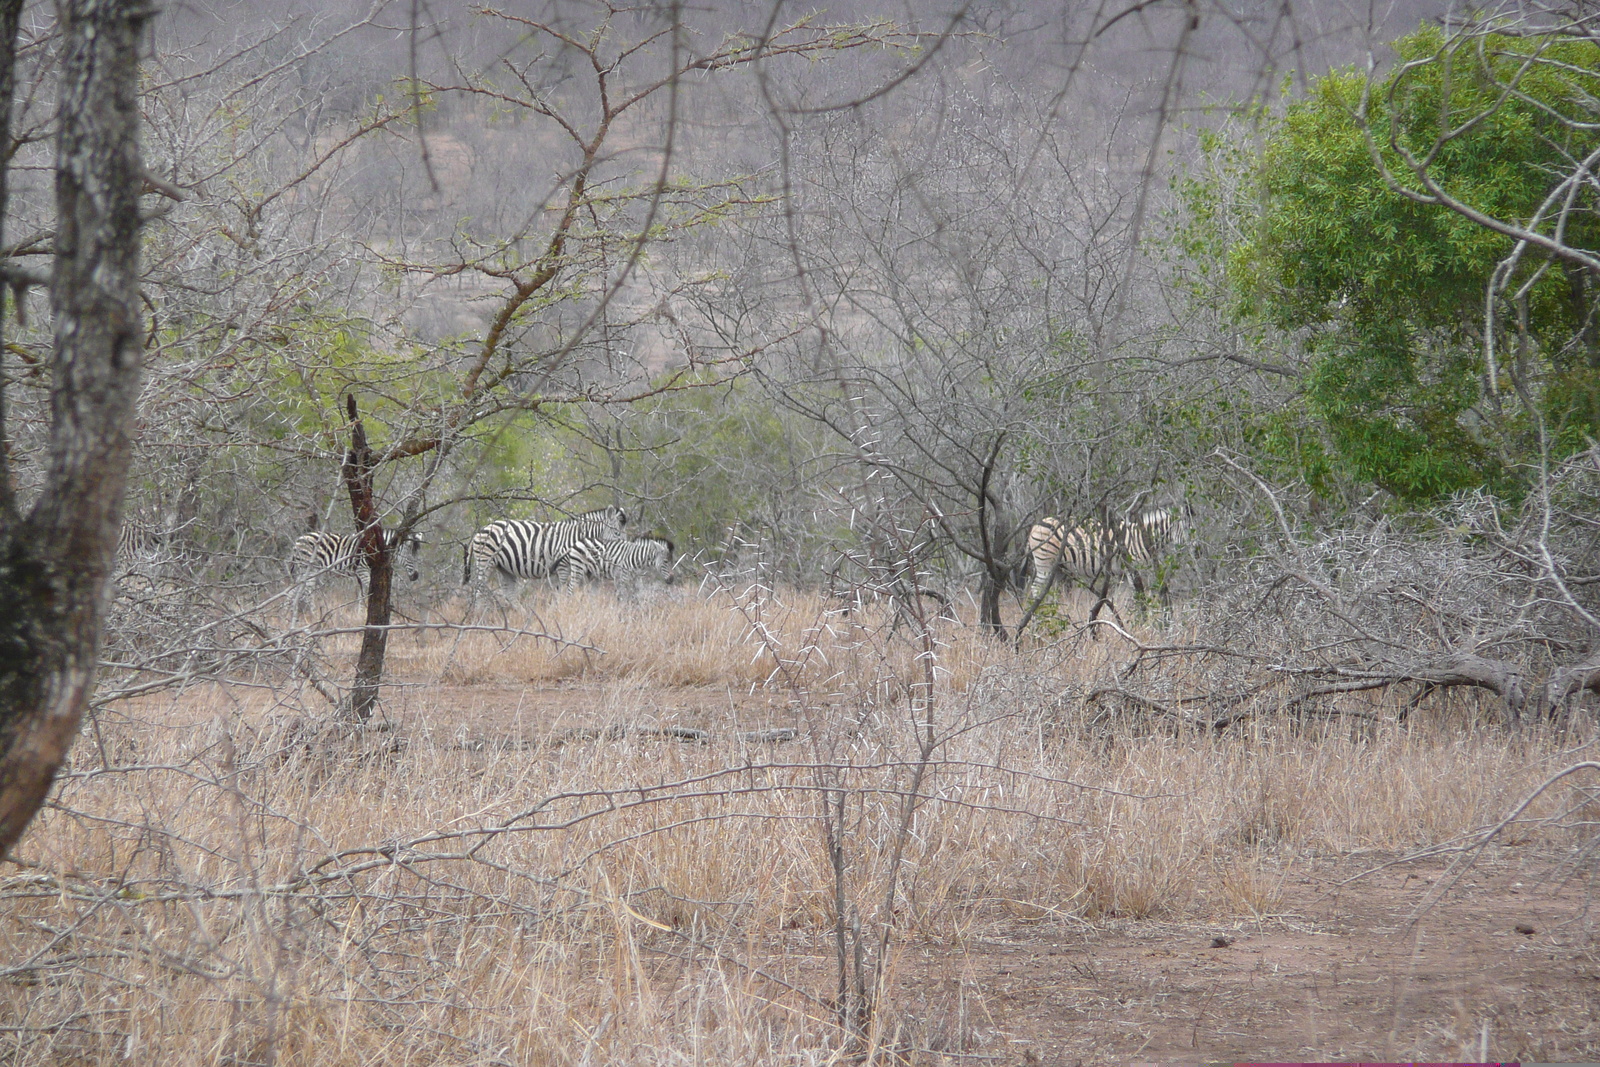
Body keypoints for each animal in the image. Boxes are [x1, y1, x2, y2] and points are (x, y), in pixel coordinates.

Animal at [460, 508, 627, 591]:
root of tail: (481, 530)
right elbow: (563, 589)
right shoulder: (563, 566)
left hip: (504, 567)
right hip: (485, 560)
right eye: (617, 534)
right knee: (480, 589)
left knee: (509, 594)